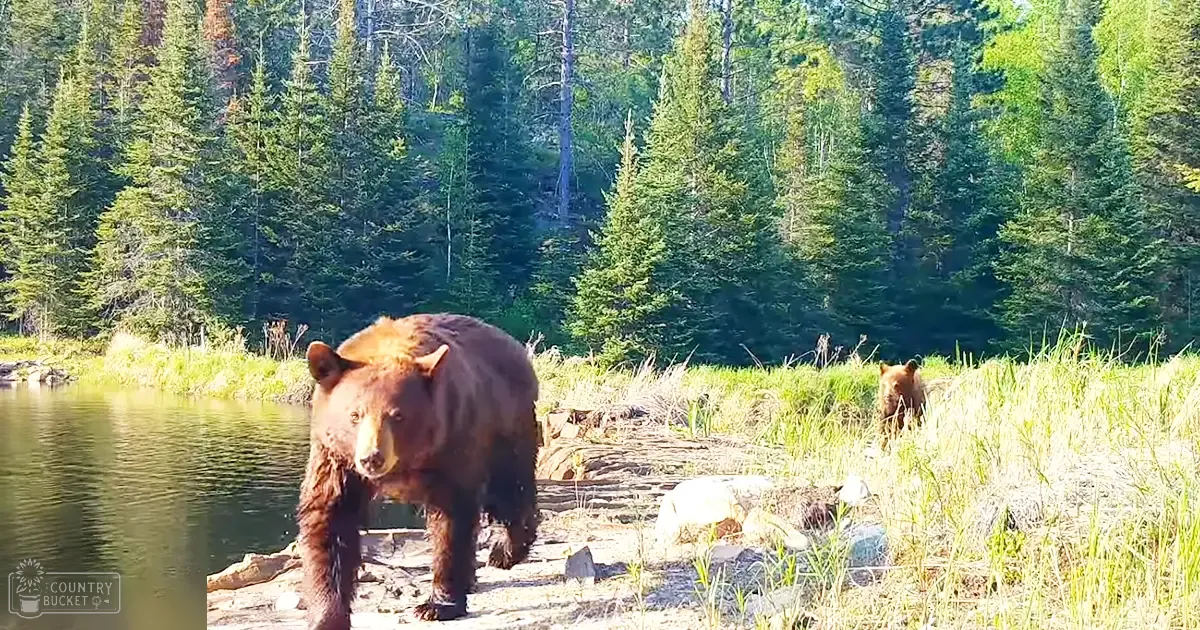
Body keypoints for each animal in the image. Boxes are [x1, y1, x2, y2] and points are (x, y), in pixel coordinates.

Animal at [296, 313, 540, 629]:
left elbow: (452, 519)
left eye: (398, 415)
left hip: (505, 428)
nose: (372, 458)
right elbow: (330, 518)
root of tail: (516, 348)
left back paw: (504, 551)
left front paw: (437, 604)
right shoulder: (336, 457)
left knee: (508, 493)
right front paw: (327, 616)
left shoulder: (453, 442)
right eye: (354, 414)